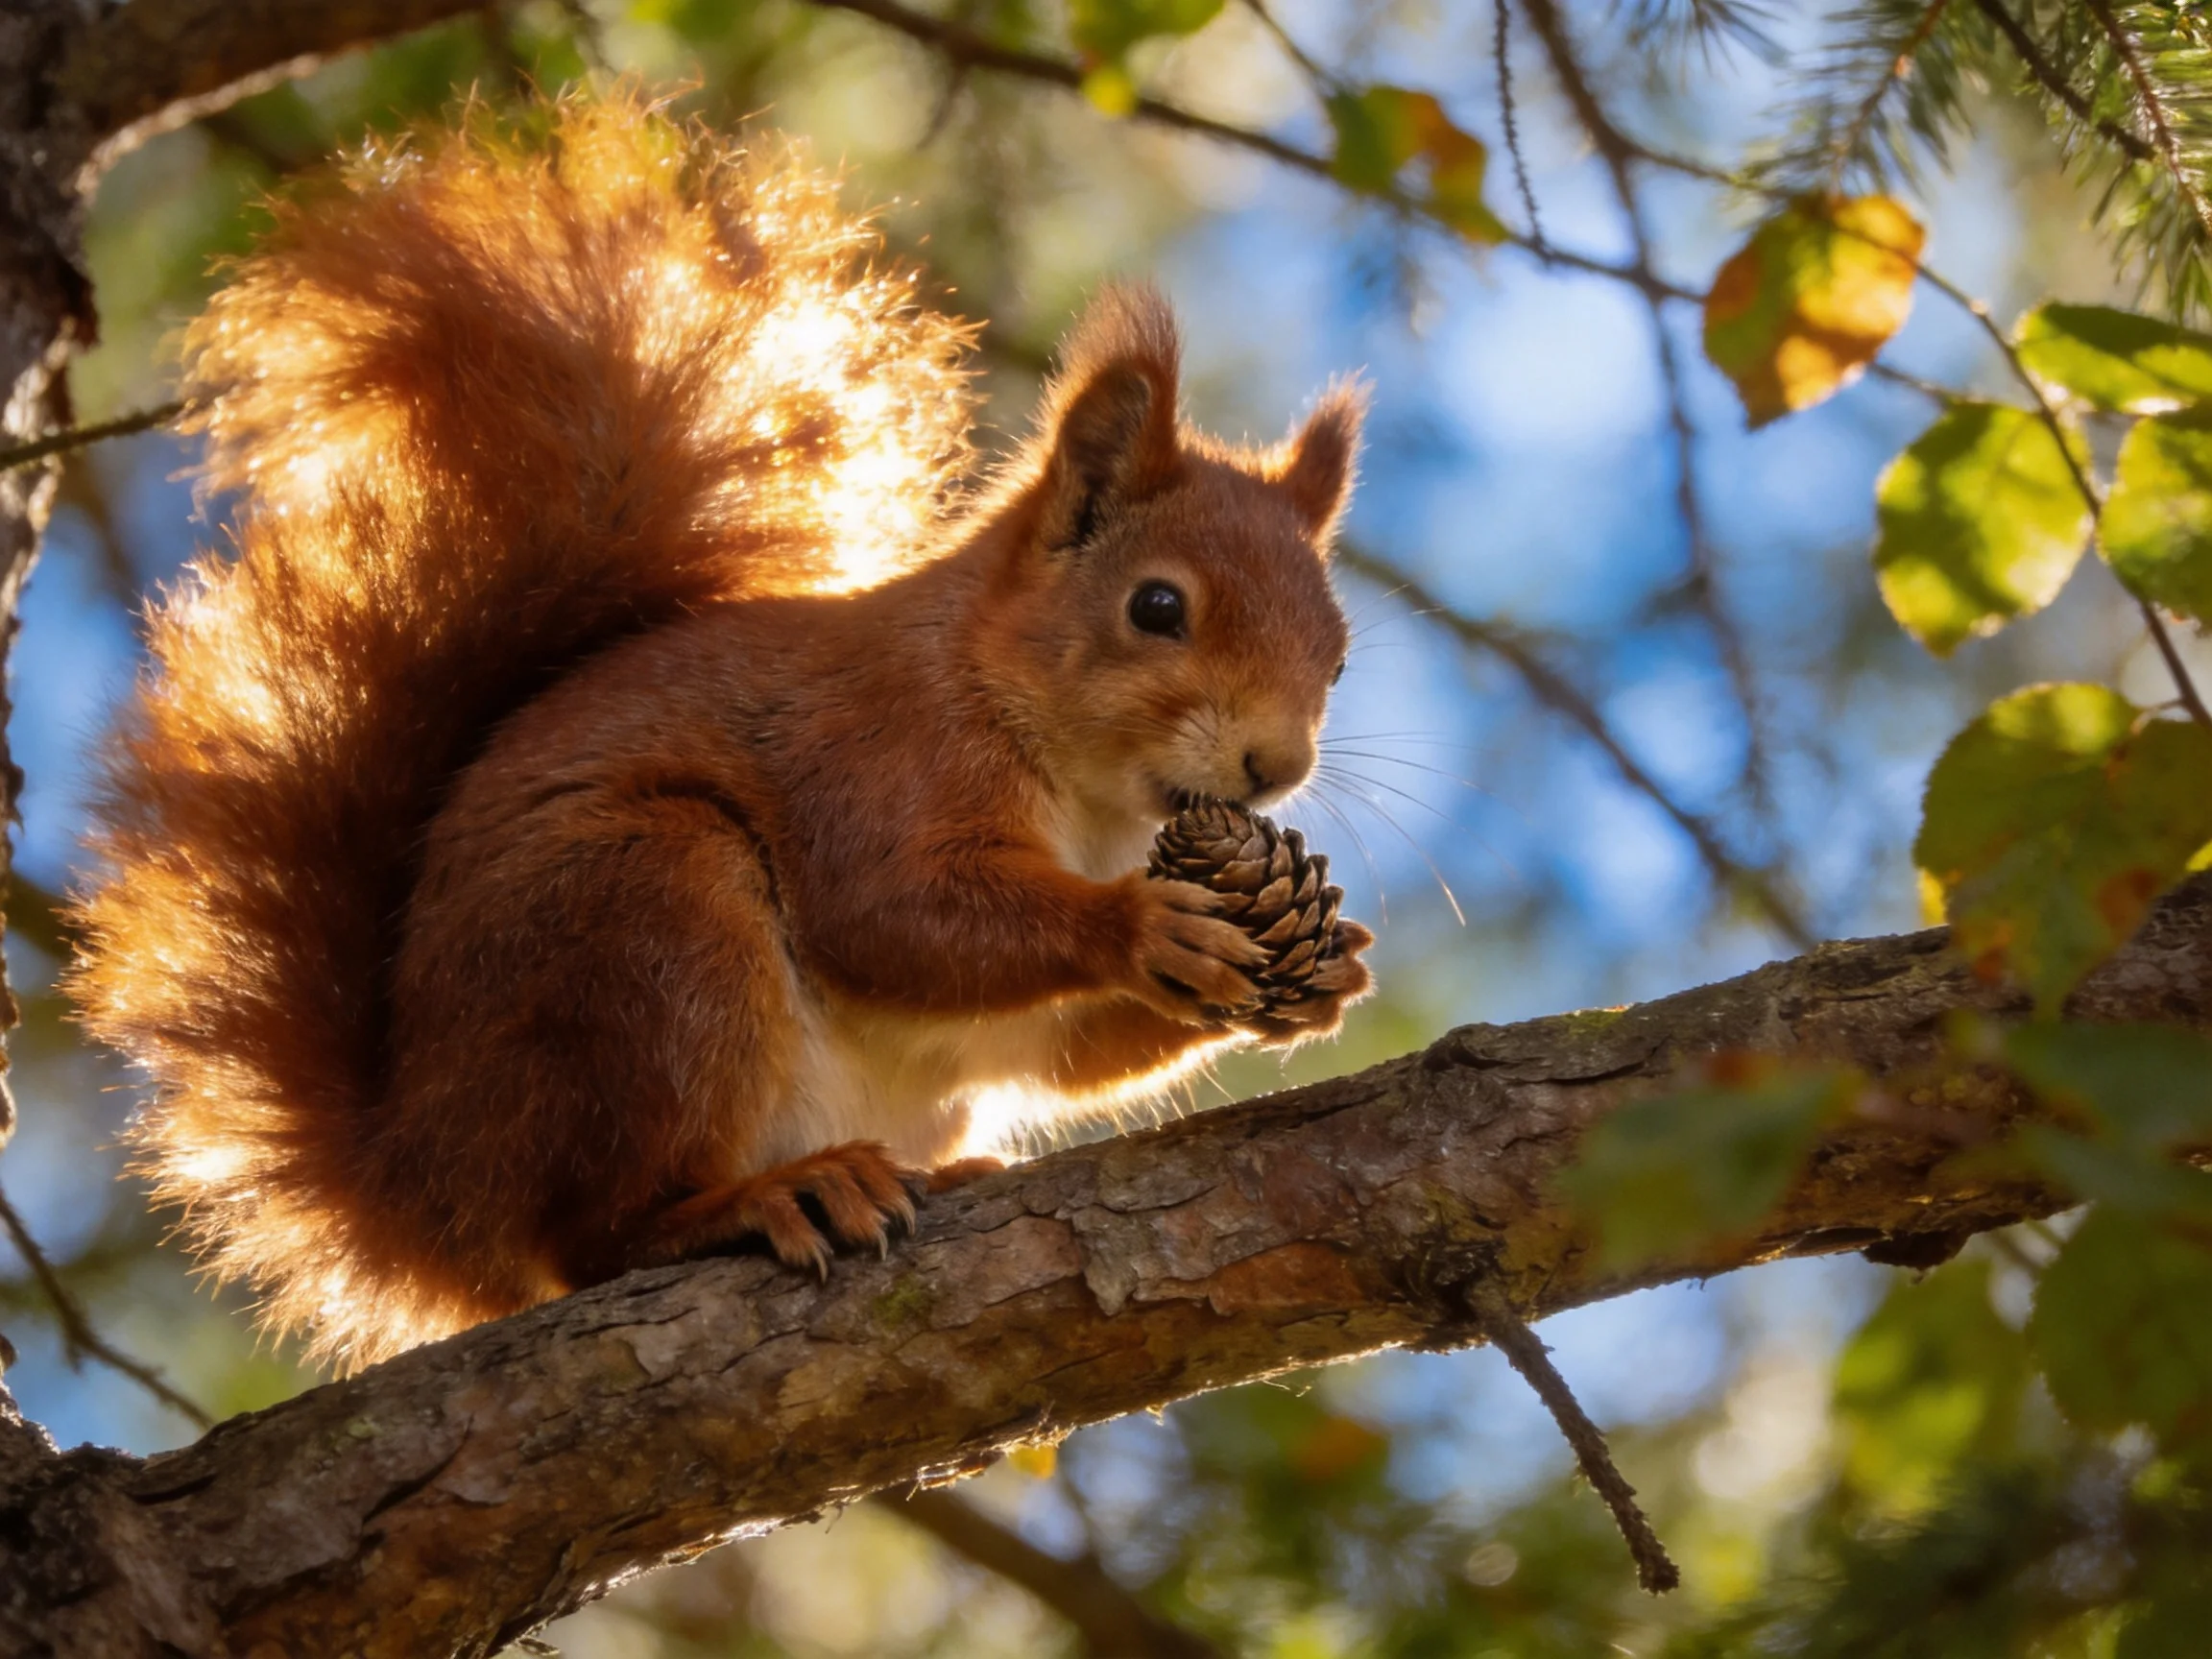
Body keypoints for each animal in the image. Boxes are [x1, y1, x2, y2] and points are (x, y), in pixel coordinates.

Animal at [65, 93, 1374, 1371]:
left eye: (1340, 652)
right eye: (1156, 608)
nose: (1276, 767)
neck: (1081, 789)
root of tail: (425, 1182)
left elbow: (1054, 1051)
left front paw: (1320, 965)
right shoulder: (878, 752)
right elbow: (889, 914)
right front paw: (1143, 924)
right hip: (647, 921)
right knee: (598, 1235)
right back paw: (763, 1199)